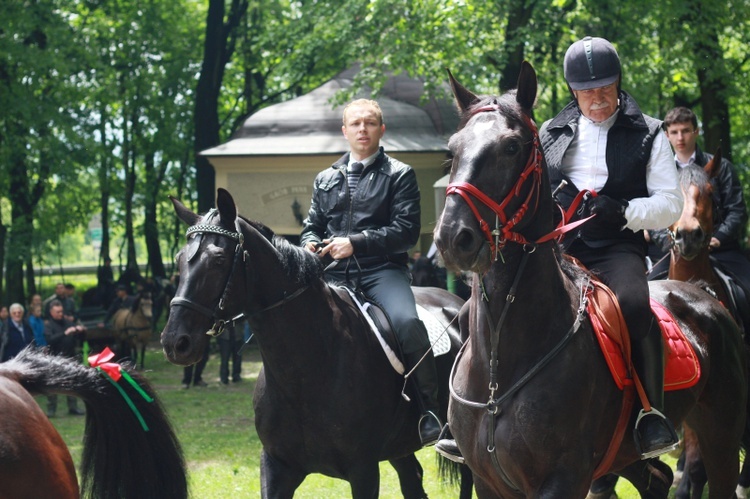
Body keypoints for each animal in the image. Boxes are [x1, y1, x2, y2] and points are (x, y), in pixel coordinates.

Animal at [162, 189, 472, 498]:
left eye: (218, 260)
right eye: (178, 260)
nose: (175, 342)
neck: (305, 371)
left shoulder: (363, 470)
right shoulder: (276, 466)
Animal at [432, 60, 748, 498]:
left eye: (511, 147)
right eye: (452, 150)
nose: (452, 237)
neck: (502, 361)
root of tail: (703, 294)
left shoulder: (564, 478)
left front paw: (605, 206)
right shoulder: (488, 482)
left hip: (720, 434)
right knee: (658, 479)